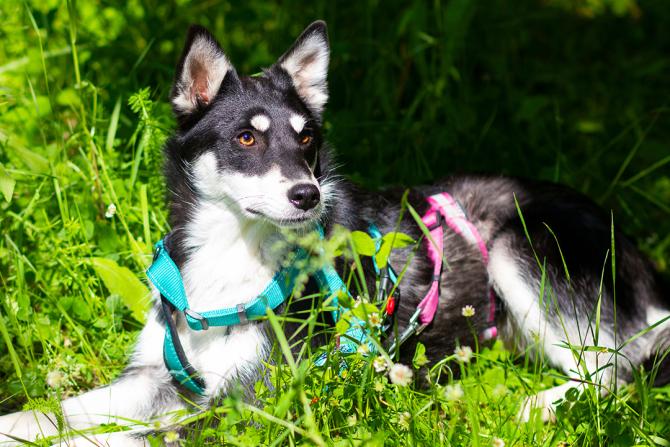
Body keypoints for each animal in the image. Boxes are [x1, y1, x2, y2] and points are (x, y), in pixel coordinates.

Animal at [1, 20, 669, 446]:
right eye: (246, 137)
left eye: (306, 139)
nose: (308, 195)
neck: (231, 265)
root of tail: (643, 260)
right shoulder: (156, 378)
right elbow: (57, 413)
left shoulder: (252, 404)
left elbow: (131, 437)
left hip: (524, 247)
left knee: (618, 373)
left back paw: (536, 406)